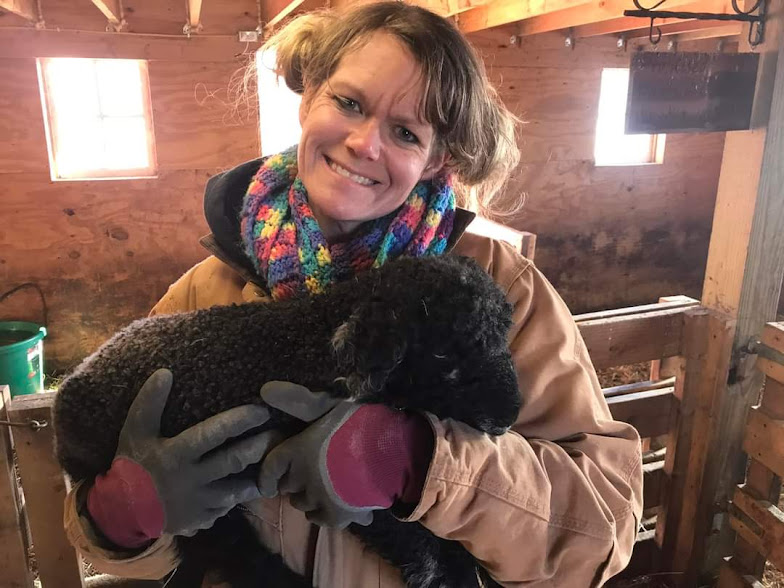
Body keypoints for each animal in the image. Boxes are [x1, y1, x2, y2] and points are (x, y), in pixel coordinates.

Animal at [53, 254, 520, 588]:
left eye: (504, 336)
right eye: (442, 355)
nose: (509, 414)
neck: (314, 334)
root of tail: (65, 400)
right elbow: (403, 530)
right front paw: (452, 575)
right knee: (230, 549)